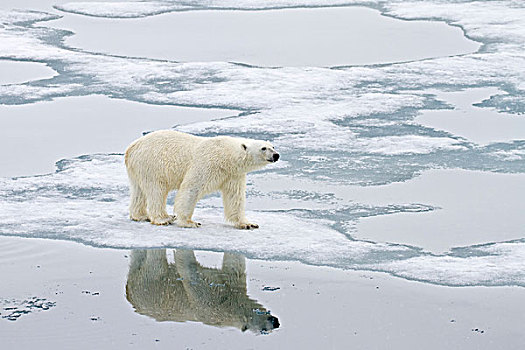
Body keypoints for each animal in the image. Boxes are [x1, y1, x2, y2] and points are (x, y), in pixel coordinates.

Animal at [124, 130, 278, 228]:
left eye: (273, 146)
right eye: (263, 148)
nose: (276, 155)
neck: (227, 156)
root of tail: (130, 149)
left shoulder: (233, 174)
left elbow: (235, 197)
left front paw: (248, 223)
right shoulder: (208, 163)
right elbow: (191, 188)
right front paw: (189, 222)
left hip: (138, 169)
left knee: (138, 191)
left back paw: (140, 216)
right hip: (153, 165)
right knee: (156, 191)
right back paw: (164, 218)